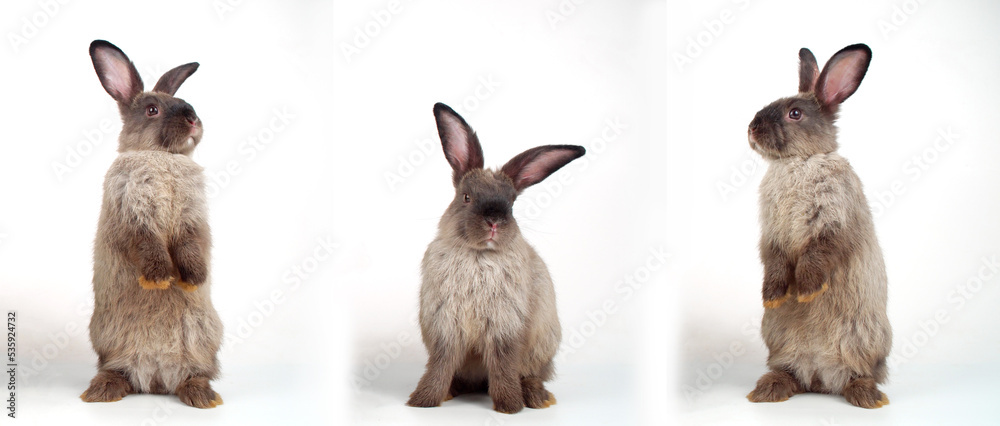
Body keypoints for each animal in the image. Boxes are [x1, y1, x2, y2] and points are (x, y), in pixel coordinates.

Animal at [81, 40, 224, 410]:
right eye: (151, 110)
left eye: (186, 104)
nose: (193, 120)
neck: (164, 157)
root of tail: (157, 378)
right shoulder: (134, 214)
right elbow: (148, 244)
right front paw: (159, 280)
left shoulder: (191, 218)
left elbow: (190, 245)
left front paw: (192, 280)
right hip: (110, 340)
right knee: (118, 370)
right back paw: (102, 391)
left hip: (203, 340)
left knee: (196, 373)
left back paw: (202, 396)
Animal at [406, 102, 584, 412]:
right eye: (466, 197)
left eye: (511, 204)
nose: (494, 222)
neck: (479, 256)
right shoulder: (445, 326)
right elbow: (440, 364)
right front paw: (423, 402)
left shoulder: (505, 327)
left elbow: (503, 366)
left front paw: (510, 406)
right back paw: (453, 390)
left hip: (542, 347)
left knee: (531, 374)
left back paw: (538, 398)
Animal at [748, 44, 896, 410]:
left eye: (795, 113)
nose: (751, 129)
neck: (798, 162)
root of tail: (820, 376)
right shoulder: (771, 235)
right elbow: (774, 262)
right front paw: (774, 297)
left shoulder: (831, 222)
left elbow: (816, 256)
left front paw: (806, 292)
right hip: (781, 343)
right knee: (790, 373)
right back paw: (768, 390)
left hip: (865, 340)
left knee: (862, 373)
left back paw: (869, 397)